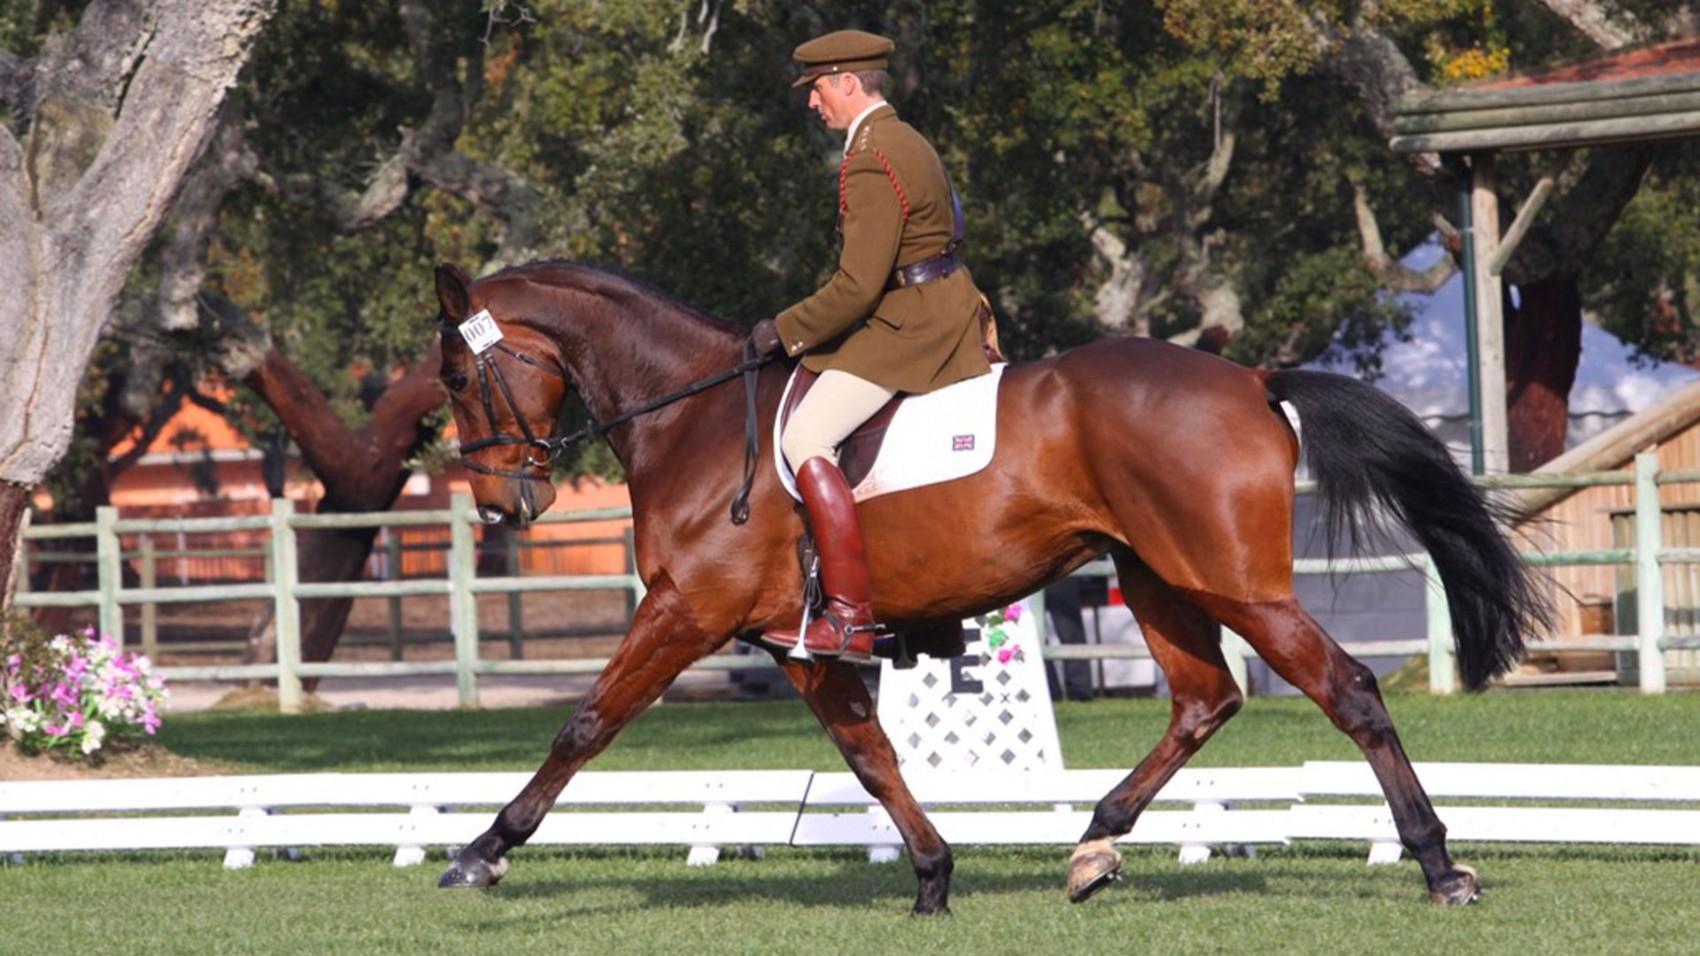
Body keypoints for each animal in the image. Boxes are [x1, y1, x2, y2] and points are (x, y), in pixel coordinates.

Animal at [428, 258, 1550, 914]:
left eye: (451, 374)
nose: (501, 504)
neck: (693, 417)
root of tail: (1248, 377)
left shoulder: (683, 611)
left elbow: (584, 725)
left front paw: (483, 851)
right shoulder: (799, 641)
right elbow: (871, 755)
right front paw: (932, 876)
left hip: (1234, 581)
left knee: (1346, 688)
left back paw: (1438, 863)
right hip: (1156, 576)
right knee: (1202, 699)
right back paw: (1094, 846)